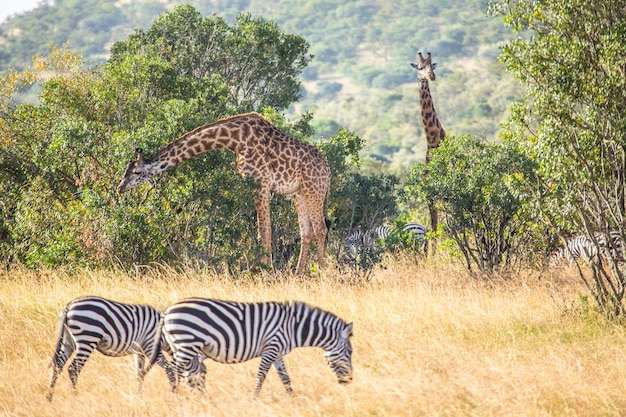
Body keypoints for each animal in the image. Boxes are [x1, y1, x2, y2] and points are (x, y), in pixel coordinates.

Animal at [46, 296, 178, 400]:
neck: (165, 332)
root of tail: (69, 306)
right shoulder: (150, 346)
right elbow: (169, 369)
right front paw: (174, 392)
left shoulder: (139, 351)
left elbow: (139, 374)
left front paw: (139, 396)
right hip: (87, 338)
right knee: (73, 369)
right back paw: (75, 396)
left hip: (68, 341)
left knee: (58, 366)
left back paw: (49, 397)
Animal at [117, 112, 332, 274]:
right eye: (126, 171)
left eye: (137, 172)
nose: (120, 188)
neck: (235, 140)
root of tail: (328, 170)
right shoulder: (257, 184)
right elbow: (265, 231)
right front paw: (262, 270)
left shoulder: (260, 183)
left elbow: (264, 231)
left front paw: (264, 272)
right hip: (299, 193)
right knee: (307, 231)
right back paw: (298, 275)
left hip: (313, 189)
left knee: (321, 228)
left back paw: (321, 273)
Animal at [145, 298, 352, 394]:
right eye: (350, 352)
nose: (349, 381)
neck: (293, 327)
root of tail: (167, 312)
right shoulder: (271, 348)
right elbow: (261, 376)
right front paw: (254, 399)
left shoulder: (277, 353)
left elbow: (285, 378)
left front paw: (294, 400)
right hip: (186, 343)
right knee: (174, 369)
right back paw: (175, 395)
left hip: (181, 345)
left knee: (183, 371)